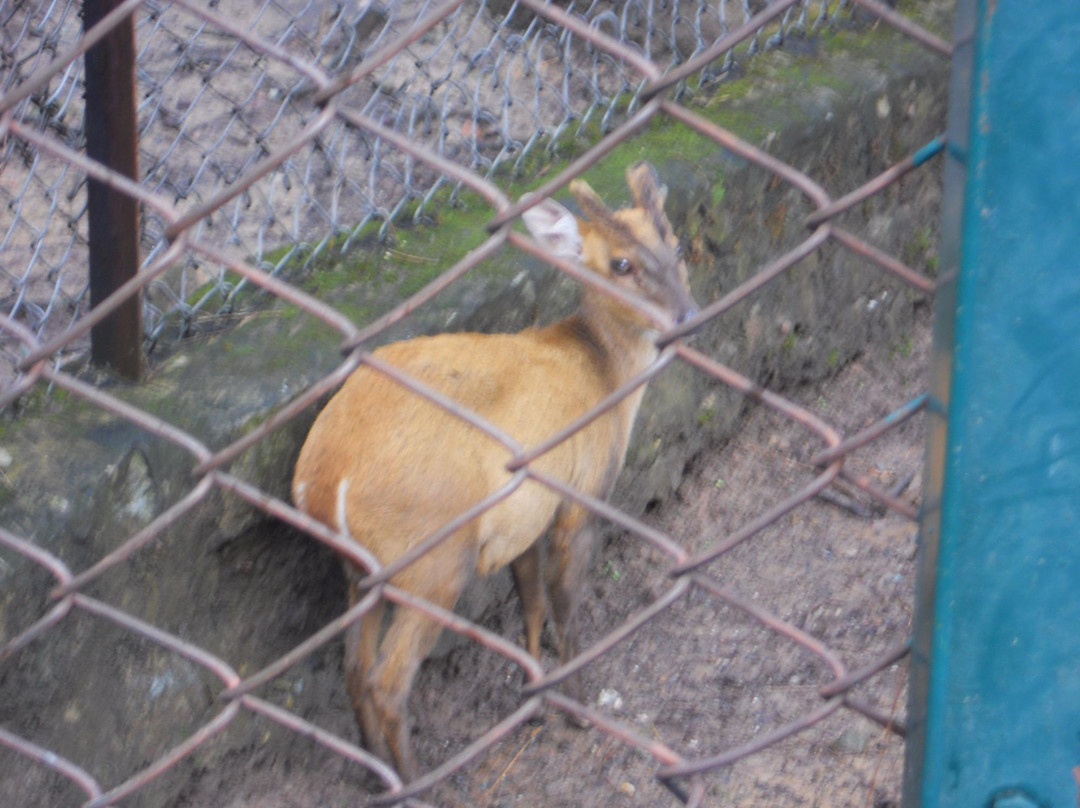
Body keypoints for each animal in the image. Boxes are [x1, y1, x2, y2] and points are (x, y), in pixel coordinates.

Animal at [291, 161, 698, 779]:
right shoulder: (578, 496)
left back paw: (377, 775)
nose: (687, 316)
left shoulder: (523, 518)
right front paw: (578, 710)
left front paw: (536, 704)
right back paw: (417, 783)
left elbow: (530, 602)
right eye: (620, 264)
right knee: (388, 680)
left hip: (360, 569)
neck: (603, 376)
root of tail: (320, 482)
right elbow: (564, 607)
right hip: (434, 556)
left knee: (354, 670)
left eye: (673, 244)